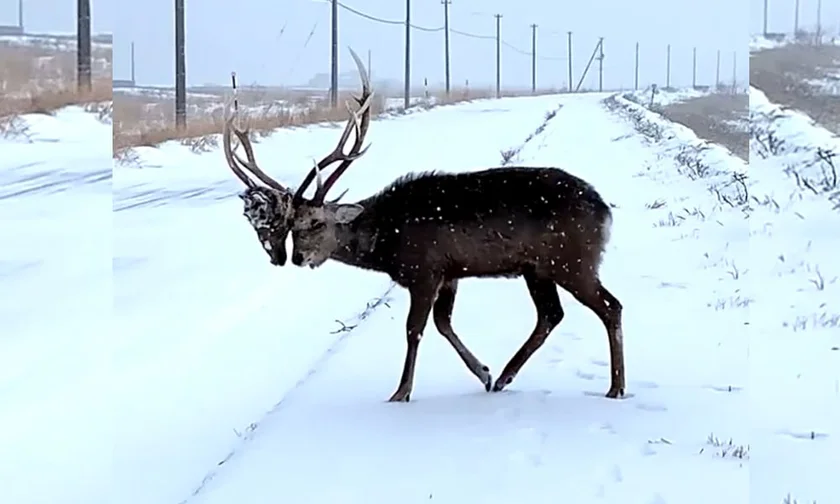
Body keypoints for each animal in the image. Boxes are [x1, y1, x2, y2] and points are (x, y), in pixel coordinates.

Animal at [221, 47, 625, 403]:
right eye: (291, 225)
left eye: (317, 222)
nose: (297, 258)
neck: (388, 243)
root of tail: (605, 211)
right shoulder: (451, 272)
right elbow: (444, 324)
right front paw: (484, 373)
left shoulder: (425, 268)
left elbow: (414, 330)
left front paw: (401, 392)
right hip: (537, 267)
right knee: (551, 315)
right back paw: (506, 377)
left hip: (573, 260)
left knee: (610, 306)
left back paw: (616, 387)